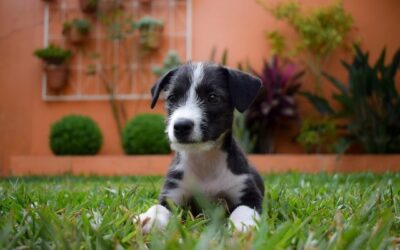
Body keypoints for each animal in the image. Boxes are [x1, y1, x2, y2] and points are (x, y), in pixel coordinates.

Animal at [138, 62, 266, 232]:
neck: (204, 160)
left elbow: (243, 209)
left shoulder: (248, 193)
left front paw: (243, 225)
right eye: (172, 97)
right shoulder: (173, 194)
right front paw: (148, 219)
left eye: (213, 97)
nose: (181, 126)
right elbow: (158, 208)